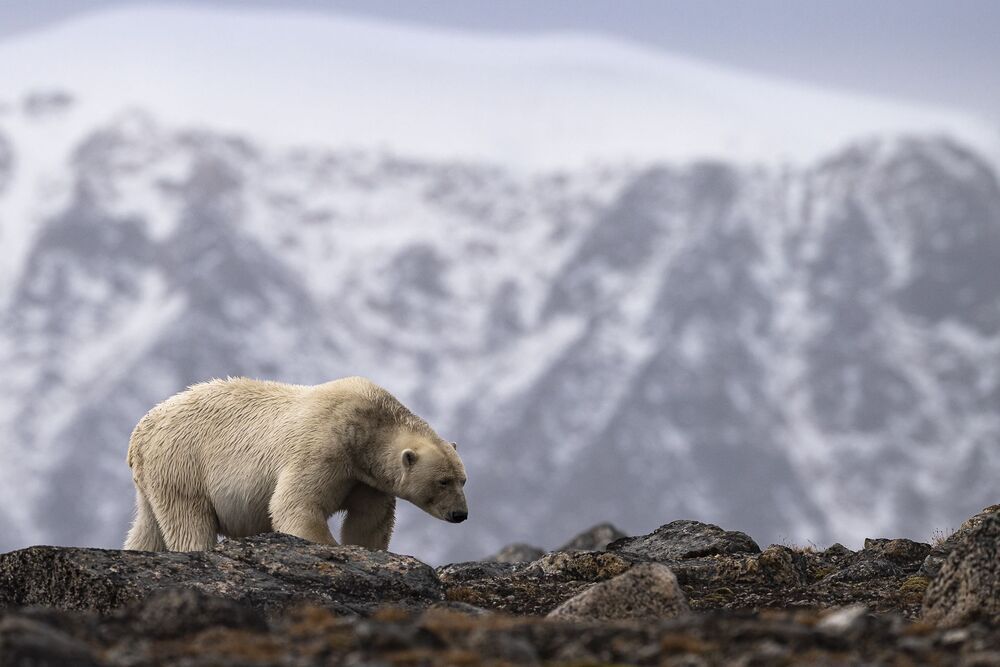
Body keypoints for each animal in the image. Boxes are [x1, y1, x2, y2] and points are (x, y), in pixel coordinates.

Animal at [123, 376, 468, 552]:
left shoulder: (367, 479)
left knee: (148, 527)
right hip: (182, 463)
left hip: (151, 481)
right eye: (443, 481)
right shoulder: (324, 448)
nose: (460, 514)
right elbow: (295, 504)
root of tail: (139, 434)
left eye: (463, 479)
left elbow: (370, 520)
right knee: (188, 521)